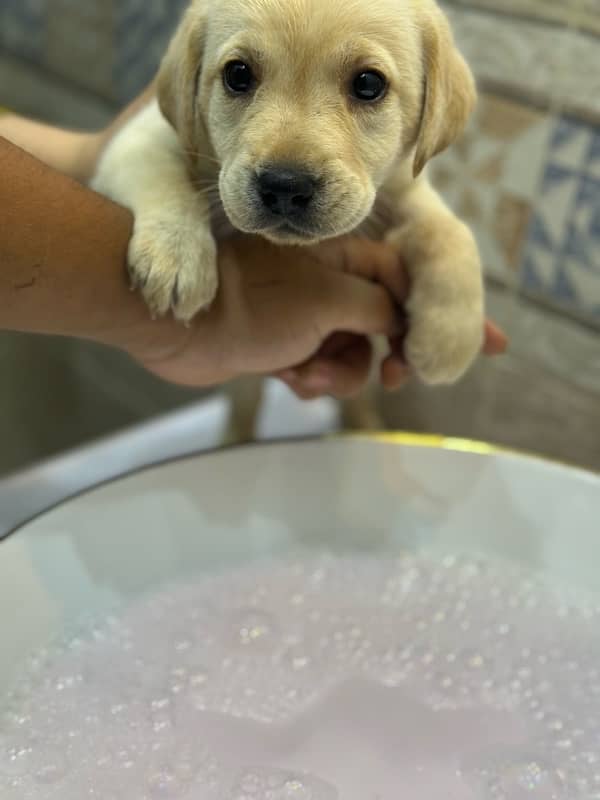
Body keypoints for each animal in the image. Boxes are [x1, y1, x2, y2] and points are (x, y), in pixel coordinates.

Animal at [95, 0, 482, 434]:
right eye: (238, 74)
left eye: (368, 84)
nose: (284, 186)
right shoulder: (141, 136)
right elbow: (159, 173)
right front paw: (177, 254)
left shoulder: (403, 189)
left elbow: (449, 231)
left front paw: (450, 336)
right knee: (244, 407)